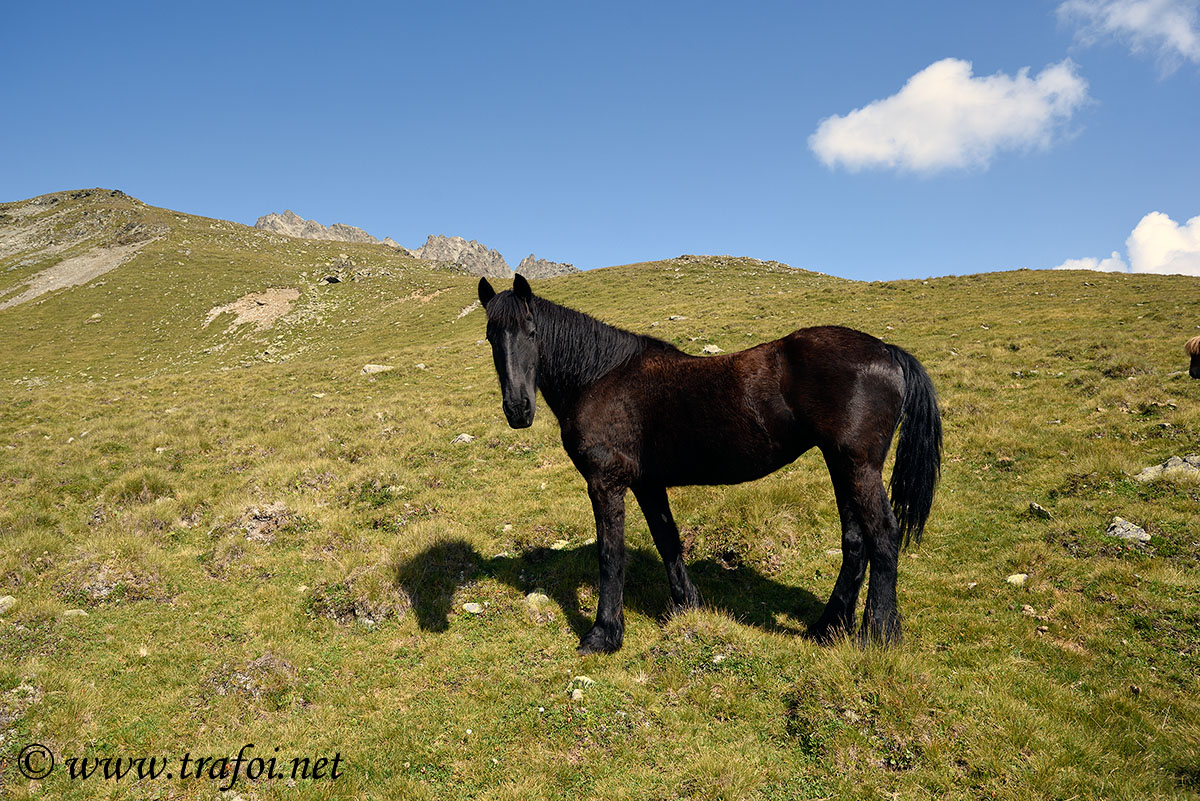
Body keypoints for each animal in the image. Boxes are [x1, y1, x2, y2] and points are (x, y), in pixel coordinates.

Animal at [475, 273, 936, 652]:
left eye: (532, 332)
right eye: (491, 337)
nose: (518, 410)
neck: (600, 377)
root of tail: (887, 351)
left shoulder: (606, 483)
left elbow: (610, 554)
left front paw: (604, 634)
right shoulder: (646, 482)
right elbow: (667, 539)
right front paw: (687, 606)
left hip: (858, 466)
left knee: (883, 536)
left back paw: (878, 635)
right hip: (841, 465)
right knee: (855, 542)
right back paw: (827, 628)